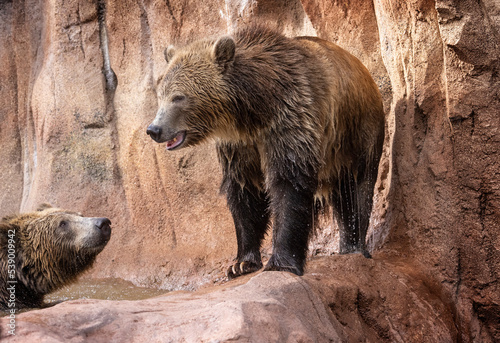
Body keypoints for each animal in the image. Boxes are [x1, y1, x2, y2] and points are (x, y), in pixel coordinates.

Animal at [146, 26, 384, 280]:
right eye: (161, 95)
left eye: (178, 97)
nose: (154, 129)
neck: (253, 112)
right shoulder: (240, 147)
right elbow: (245, 195)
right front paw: (241, 263)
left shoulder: (289, 121)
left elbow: (288, 184)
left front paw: (281, 262)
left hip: (356, 137)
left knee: (356, 194)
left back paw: (354, 248)